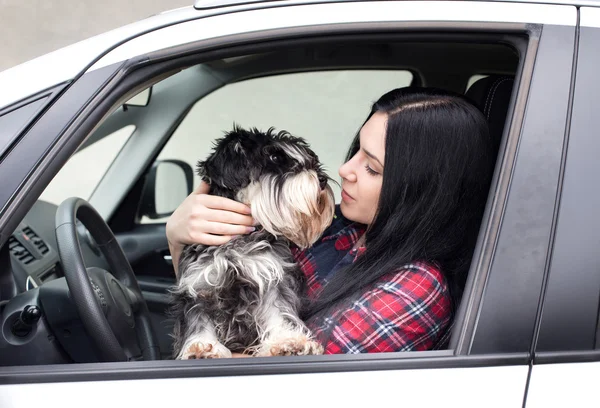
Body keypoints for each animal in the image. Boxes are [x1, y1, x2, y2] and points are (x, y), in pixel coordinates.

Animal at [171, 125, 336, 360]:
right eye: (274, 157)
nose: (322, 179)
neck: (236, 241)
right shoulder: (198, 287)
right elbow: (198, 322)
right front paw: (201, 348)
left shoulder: (272, 279)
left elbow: (279, 311)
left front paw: (288, 342)